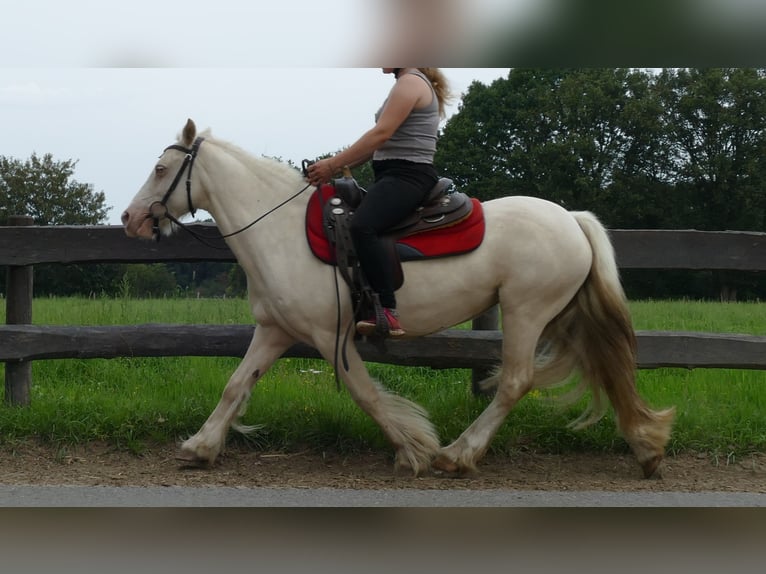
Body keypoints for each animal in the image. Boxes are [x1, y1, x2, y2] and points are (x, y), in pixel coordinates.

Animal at [121, 119, 680, 480]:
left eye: (159, 169)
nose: (131, 218)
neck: (280, 230)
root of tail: (571, 218)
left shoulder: (331, 335)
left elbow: (366, 394)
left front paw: (414, 449)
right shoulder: (276, 330)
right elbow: (236, 386)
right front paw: (199, 447)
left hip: (527, 311)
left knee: (514, 383)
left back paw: (457, 455)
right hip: (560, 314)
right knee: (606, 369)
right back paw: (646, 446)